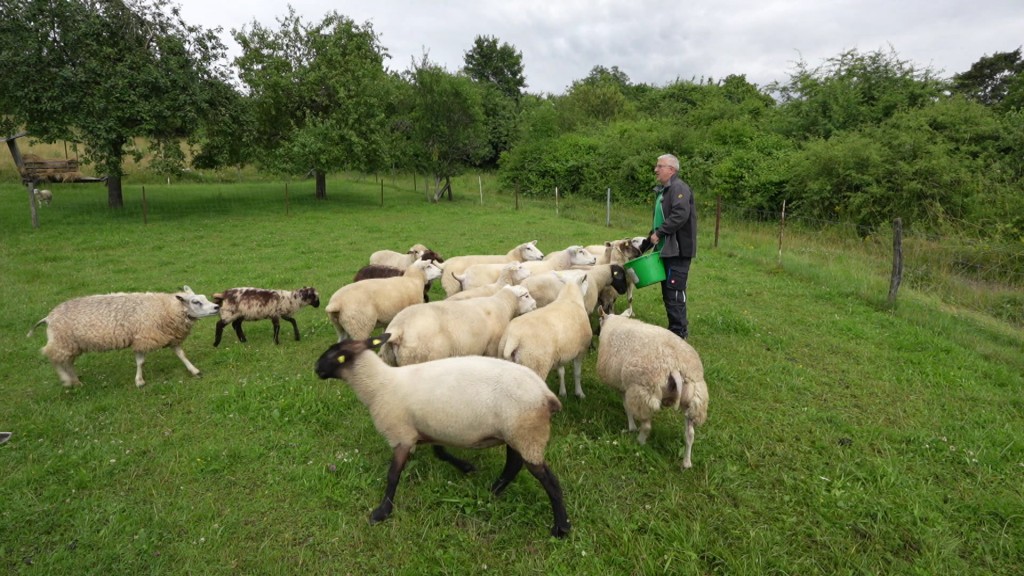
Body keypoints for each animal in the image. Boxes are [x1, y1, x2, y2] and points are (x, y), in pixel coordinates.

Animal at [27, 282, 220, 385]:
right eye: (196, 302)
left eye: (204, 298)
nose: (217, 307)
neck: (166, 309)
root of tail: (48, 317)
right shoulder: (143, 338)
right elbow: (141, 362)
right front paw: (139, 381)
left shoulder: (170, 337)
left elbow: (181, 355)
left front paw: (194, 370)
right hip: (62, 342)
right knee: (55, 359)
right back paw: (67, 381)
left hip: (70, 344)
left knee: (67, 362)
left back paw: (75, 381)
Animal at [315, 334, 573, 537]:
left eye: (334, 355)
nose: (315, 369)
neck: (379, 386)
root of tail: (546, 395)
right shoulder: (429, 430)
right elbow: (440, 453)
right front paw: (466, 467)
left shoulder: (401, 435)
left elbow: (392, 475)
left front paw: (381, 512)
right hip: (516, 433)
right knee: (513, 464)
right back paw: (493, 492)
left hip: (527, 434)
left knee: (549, 480)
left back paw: (561, 527)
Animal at [376, 284, 536, 364]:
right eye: (526, 295)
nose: (535, 305)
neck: (503, 304)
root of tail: (398, 328)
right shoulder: (492, 347)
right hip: (419, 358)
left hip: (389, 360)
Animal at [598, 309, 708, 467]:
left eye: (600, 319)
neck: (615, 323)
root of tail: (675, 365)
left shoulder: (624, 387)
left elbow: (626, 407)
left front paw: (631, 427)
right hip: (694, 400)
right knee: (690, 434)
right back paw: (686, 463)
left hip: (643, 393)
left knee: (646, 426)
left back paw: (639, 441)